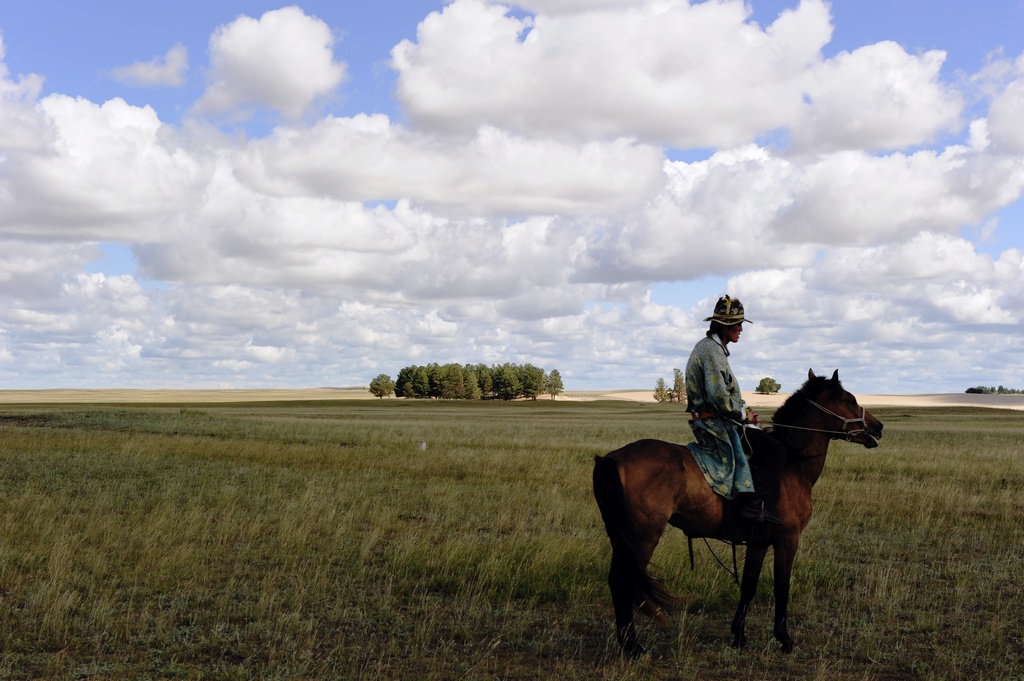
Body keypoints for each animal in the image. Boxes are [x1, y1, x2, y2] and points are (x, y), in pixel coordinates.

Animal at [598, 368, 884, 655]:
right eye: (849, 399)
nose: (878, 427)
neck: (793, 465)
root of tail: (611, 458)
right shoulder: (787, 539)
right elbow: (782, 587)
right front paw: (785, 639)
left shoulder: (759, 542)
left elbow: (748, 585)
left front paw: (739, 636)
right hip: (643, 538)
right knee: (624, 581)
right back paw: (634, 647)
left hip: (623, 538)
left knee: (616, 580)